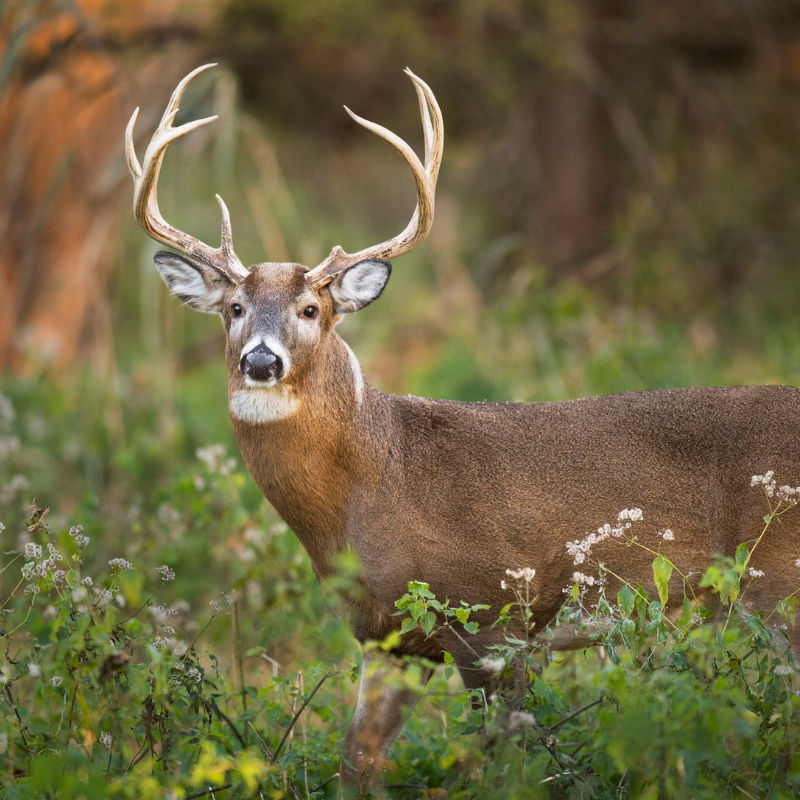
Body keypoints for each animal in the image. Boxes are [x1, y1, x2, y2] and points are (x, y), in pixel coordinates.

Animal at [126, 64, 800, 794]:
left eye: (311, 308)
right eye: (235, 308)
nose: (260, 361)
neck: (376, 480)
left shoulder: (494, 614)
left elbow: (507, 757)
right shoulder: (389, 638)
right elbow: (357, 760)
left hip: (780, 582)